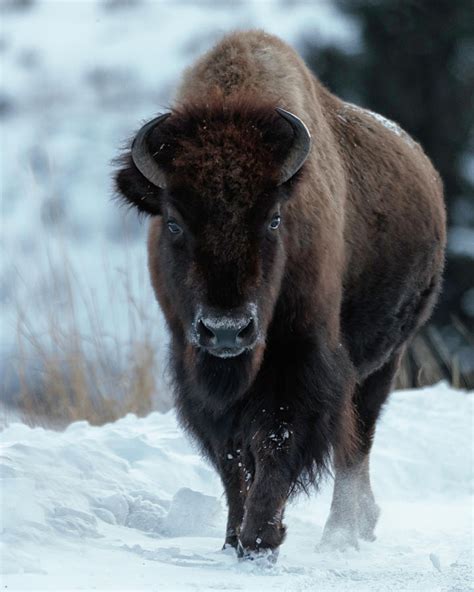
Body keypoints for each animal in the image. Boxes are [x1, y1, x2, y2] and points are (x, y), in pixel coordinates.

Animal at [114, 31, 444, 560]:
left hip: (384, 360)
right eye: (174, 222)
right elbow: (233, 456)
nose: (227, 330)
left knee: (357, 442)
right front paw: (233, 538)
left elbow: (276, 439)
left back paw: (344, 532)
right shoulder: (197, 373)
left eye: (273, 219)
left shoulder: (300, 360)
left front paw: (260, 538)